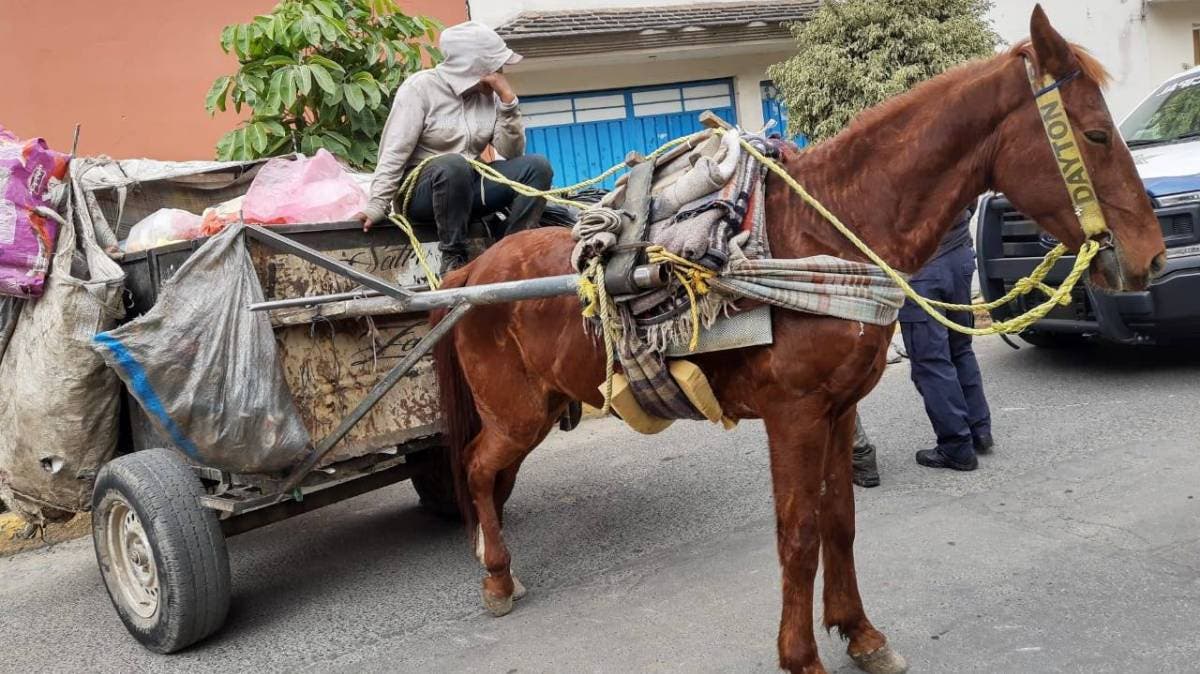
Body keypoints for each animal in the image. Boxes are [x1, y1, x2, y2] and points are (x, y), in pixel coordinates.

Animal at [429, 7, 1166, 673]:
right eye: (1097, 135)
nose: (1151, 256)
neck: (826, 235)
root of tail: (471, 272)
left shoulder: (838, 413)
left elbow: (839, 520)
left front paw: (860, 632)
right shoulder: (795, 417)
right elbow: (798, 533)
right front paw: (802, 655)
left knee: (484, 474)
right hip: (518, 413)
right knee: (477, 468)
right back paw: (496, 575)